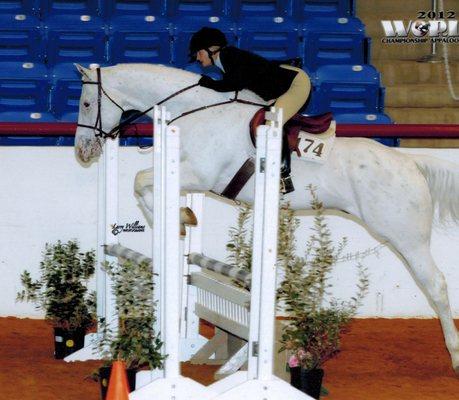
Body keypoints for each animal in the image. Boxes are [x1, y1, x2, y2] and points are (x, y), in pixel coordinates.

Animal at [73, 62, 459, 372]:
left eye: (87, 103)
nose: (83, 151)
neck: (196, 110)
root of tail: (411, 162)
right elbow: (144, 184)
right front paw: (182, 218)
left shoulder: (200, 174)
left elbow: (141, 181)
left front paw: (178, 217)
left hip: (405, 236)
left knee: (436, 286)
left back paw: (454, 355)